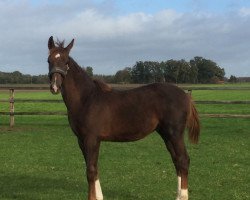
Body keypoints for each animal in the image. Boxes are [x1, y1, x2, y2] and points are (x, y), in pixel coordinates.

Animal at [47, 36, 199, 200]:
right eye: (49, 60)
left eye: (66, 61)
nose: (55, 86)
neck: (86, 99)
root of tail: (185, 95)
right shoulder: (81, 140)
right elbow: (93, 168)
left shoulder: (91, 139)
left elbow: (90, 171)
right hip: (166, 134)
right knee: (177, 160)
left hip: (174, 134)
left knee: (183, 160)